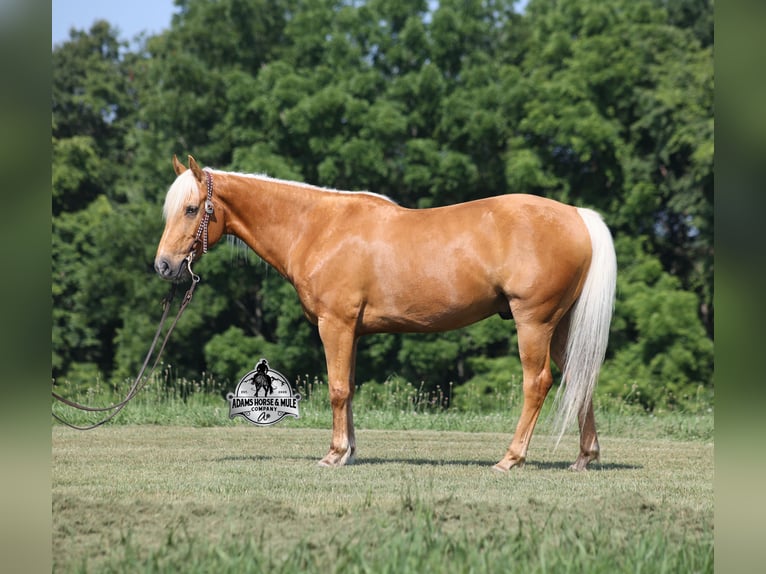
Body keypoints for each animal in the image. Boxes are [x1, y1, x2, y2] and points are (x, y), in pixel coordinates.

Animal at [155, 155, 616, 471]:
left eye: (192, 209)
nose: (163, 265)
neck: (317, 227)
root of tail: (577, 216)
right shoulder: (353, 332)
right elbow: (350, 388)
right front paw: (349, 452)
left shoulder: (335, 325)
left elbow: (337, 389)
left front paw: (334, 455)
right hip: (562, 325)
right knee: (580, 377)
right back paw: (584, 457)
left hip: (534, 322)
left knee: (537, 383)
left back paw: (511, 458)